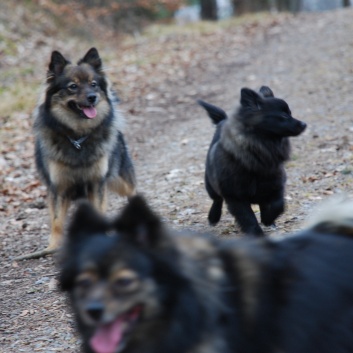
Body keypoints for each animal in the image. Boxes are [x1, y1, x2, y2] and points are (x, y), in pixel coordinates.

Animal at [32, 48, 135, 254]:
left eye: (93, 84)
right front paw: (53, 246)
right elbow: (56, 220)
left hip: (121, 179)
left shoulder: (97, 183)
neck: (78, 138)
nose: (92, 97)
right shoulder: (58, 187)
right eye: (73, 86)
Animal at [198, 85, 306, 235]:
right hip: (211, 185)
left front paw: (268, 219)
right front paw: (256, 233)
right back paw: (213, 217)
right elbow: (248, 218)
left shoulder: (275, 185)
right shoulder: (235, 197)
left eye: (290, 113)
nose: (304, 124)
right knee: (217, 200)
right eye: (284, 116)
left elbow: (278, 205)